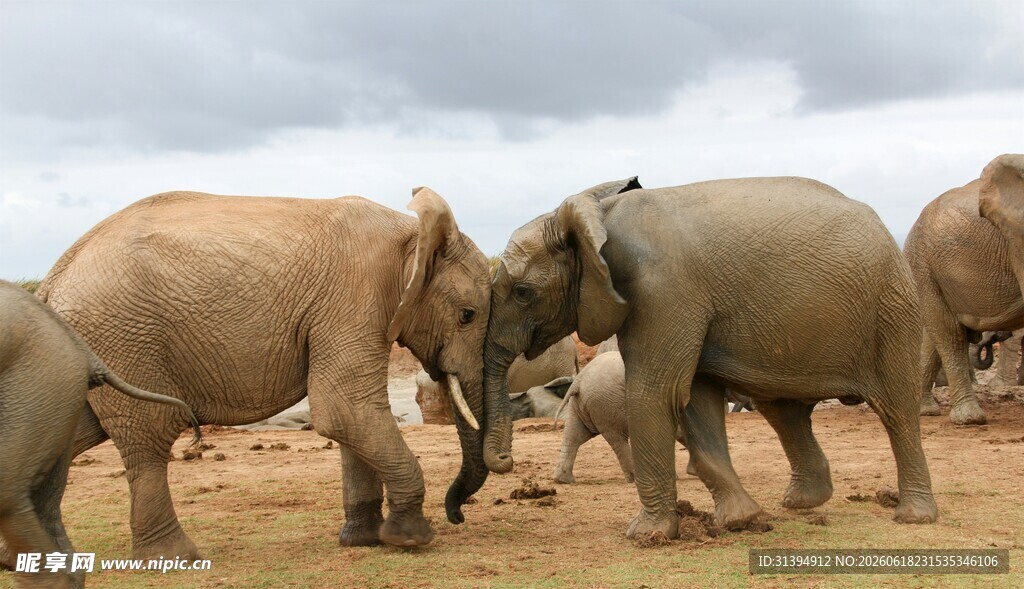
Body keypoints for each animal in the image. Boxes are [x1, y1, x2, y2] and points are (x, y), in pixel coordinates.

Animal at [34, 187, 503, 557]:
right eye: (467, 315)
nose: (458, 516)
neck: (411, 233)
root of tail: (52, 280)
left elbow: (352, 418)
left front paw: (364, 540)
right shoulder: (355, 297)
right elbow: (345, 409)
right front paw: (409, 539)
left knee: (74, 434)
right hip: (124, 337)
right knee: (148, 438)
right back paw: (174, 557)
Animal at [483, 175, 937, 539]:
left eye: (522, 293)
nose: (506, 461)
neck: (594, 216)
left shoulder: (662, 290)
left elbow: (657, 392)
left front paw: (645, 536)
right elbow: (694, 400)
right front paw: (738, 522)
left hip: (892, 309)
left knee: (895, 409)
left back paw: (913, 517)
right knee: (783, 411)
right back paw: (802, 503)